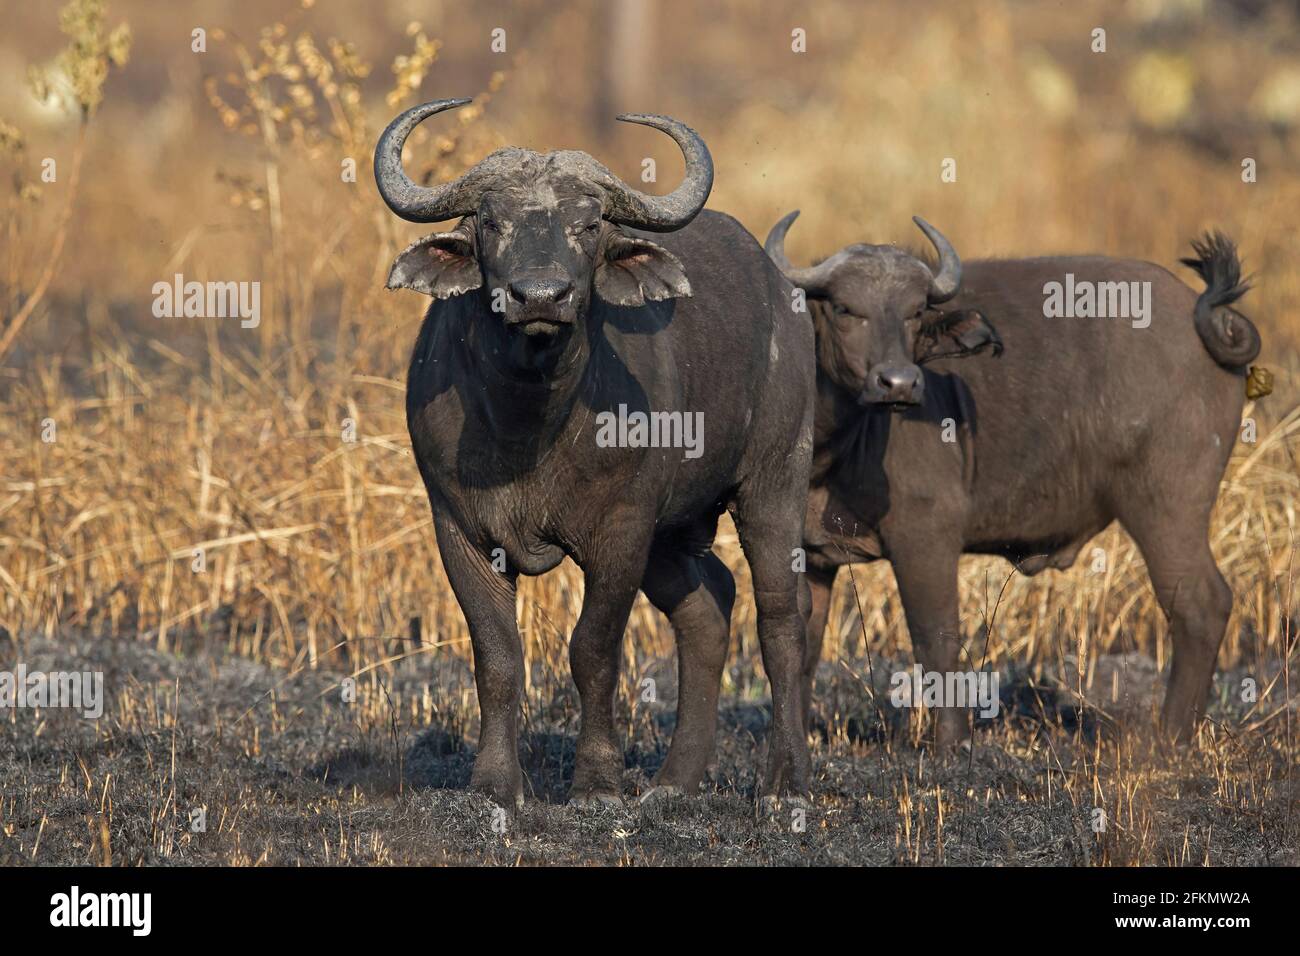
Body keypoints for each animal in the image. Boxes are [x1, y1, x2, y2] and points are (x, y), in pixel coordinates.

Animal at [377, 102, 816, 806]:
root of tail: (785, 295)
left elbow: (594, 651)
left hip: (773, 484)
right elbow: (497, 655)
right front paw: (495, 784)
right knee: (707, 608)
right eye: (491, 222)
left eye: (586, 226)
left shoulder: (621, 530)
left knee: (781, 616)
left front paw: (598, 781)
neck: (529, 423)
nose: (540, 296)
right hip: (675, 531)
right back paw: (674, 781)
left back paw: (785, 778)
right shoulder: (459, 529)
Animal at [764, 210, 1263, 749]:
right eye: (843, 307)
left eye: (915, 312)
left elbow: (936, 636)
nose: (899, 383)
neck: (834, 447)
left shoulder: (926, 537)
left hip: (1166, 508)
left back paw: (1170, 737)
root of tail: (1198, 318)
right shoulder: (810, 553)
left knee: (1200, 604)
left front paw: (951, 743)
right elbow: (804, 641)